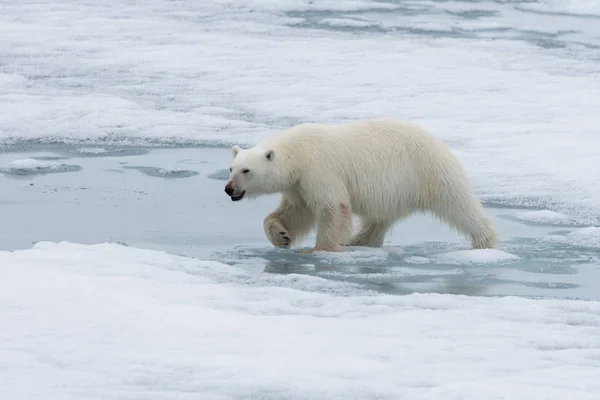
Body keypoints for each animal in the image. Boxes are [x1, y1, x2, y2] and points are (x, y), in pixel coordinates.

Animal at [223, 117, 494, 253]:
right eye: (231, 168)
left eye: (247, 170)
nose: (229, 189)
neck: (297, 153)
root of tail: (440, 143)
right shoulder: (298, 185)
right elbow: (296, 212)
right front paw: (281, 236)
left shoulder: (319, 169)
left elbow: (333, 207)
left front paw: (320, 249)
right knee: (377, 220)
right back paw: (358, 242)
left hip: (429, 171)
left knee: (459, 204)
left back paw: (484, 241)